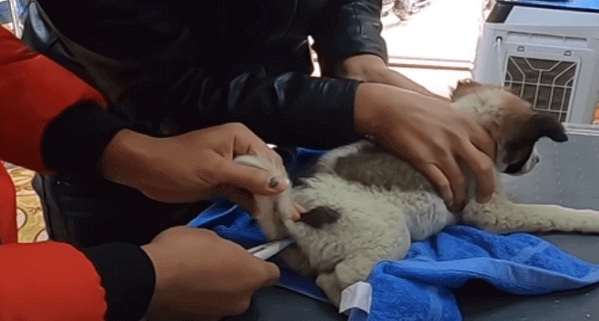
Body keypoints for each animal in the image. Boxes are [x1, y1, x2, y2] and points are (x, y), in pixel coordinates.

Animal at [233, 79, 599, 306]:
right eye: (529, 148)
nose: (537, 160)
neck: (469, 120)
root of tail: (292, 213)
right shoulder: (488, 210)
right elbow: (551, 211)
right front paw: (589, 219)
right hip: (388, 237)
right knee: (335, 278)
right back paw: (356, 300)